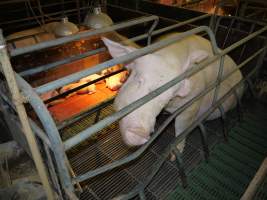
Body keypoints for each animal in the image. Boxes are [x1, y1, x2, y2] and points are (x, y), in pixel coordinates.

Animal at [103, 33, 246, 152]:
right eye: (139, 80)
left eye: (167, 98)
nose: (140, 132)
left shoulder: (192, 104)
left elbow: (181, 127)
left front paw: (174, 154)